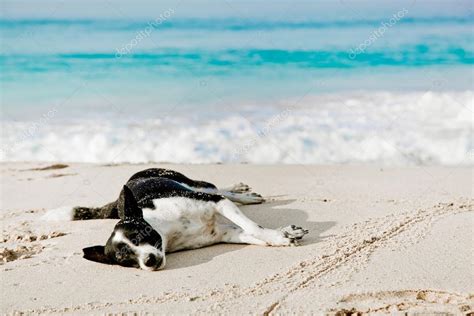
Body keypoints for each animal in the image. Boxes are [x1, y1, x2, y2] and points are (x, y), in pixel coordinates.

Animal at [47, 169, 312, 270]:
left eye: (139, 236)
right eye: (124, 260)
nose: (149, 261)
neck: (168, 231)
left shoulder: (216, 203)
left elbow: (253, 226)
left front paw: (279, 233)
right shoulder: (227, 233)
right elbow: (252, 234)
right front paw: (281, 237)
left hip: (192, 183)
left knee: (217, 189)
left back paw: (242, 193)